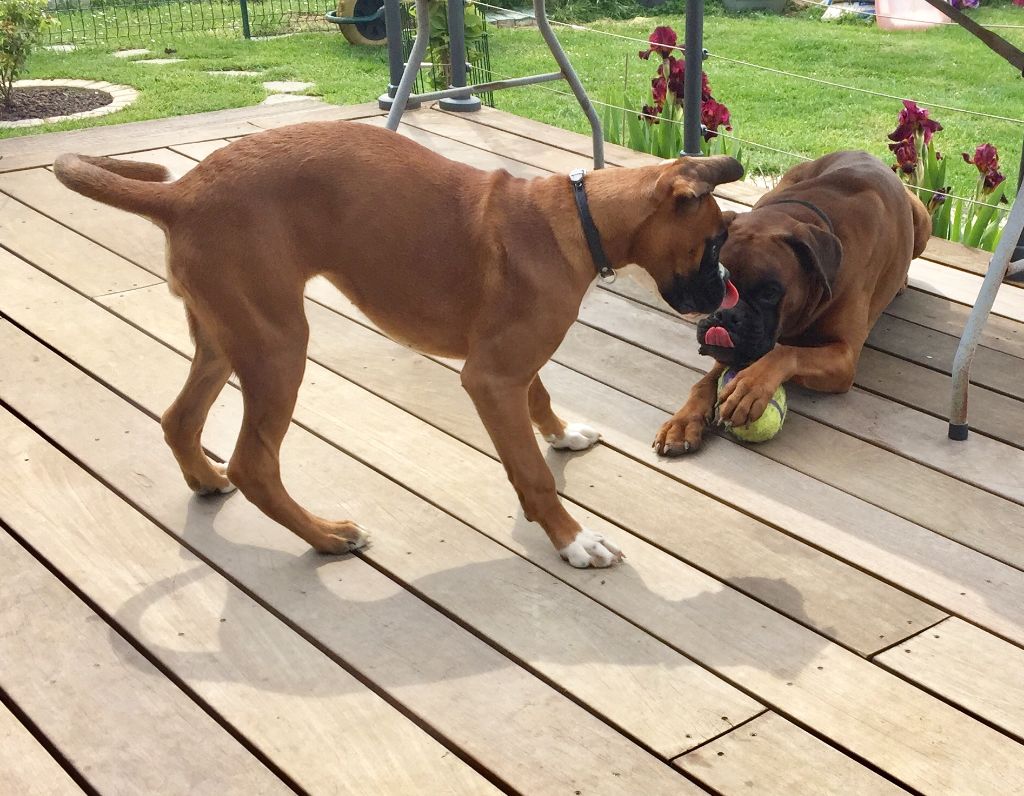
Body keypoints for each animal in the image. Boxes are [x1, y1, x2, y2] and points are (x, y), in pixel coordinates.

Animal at [54, 119, 745, 565]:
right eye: (714, 243)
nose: (725, 293)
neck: (572, 219)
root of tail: (182, 192)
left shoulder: (506, 363)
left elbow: (540, 396)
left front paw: (562, 434)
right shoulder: (489, 376)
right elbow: (531, 474)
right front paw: (573, 540)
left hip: (226, 337)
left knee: (179, 418)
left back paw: (204, 479)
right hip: (277, 346)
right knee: (254, 463)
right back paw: (327, 537)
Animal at [651, 148, 933, 452]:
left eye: (770, 293)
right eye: (716, 278)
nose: (725, 315)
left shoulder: (843, 356)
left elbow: (785, 352)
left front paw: (749, 387)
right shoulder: (732, 351)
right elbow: (705, 382)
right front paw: (683, 421)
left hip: (924, 221)